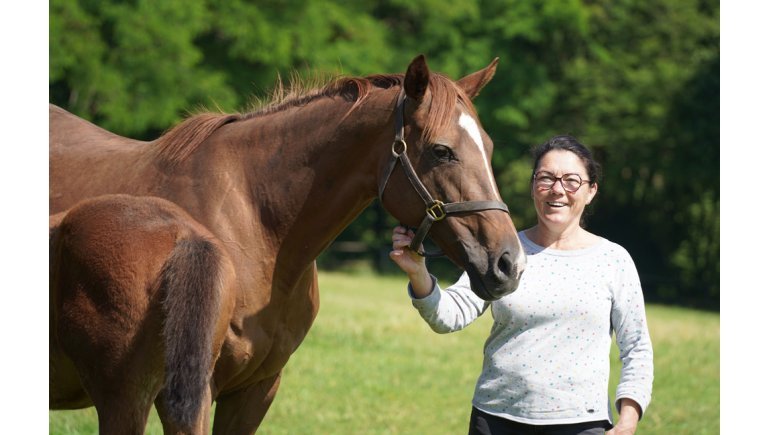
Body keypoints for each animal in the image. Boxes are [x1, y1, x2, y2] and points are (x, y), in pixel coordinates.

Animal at [49, 54, 527, 434]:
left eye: (488, 147)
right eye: (442, 151)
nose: (509, 264)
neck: (256, 225)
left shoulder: (256, 389)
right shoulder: (185, 394)